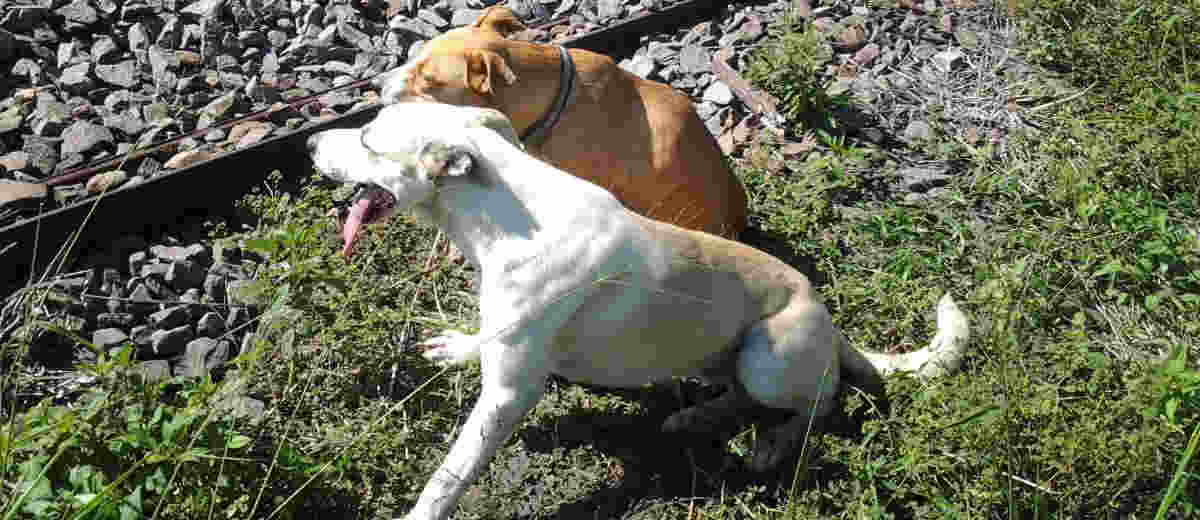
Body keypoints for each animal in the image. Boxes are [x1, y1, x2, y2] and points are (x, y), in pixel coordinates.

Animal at [304, 102, 969, 518]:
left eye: (368, 140)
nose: (309, 141)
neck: (504, 213)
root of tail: (833, 327)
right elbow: (482, 340)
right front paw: (458, 346)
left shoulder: (509, 393)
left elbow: (450, 473)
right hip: (725, 360)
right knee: (739, 393)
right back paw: (696, 418)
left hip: (768, 354)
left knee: (819, 401)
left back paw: (773, 444)